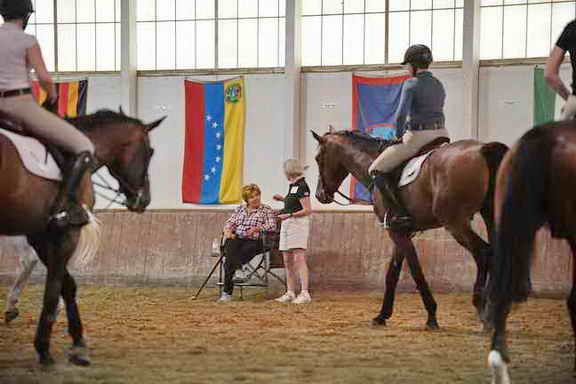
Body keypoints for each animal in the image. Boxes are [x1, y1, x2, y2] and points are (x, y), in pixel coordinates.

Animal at [0, 109, 165, 366]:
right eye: (150, 152)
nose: (144, 199)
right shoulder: (65, 233)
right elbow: (59, 287)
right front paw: (51, 348)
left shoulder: (42, 234)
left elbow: (63, 284)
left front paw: (72, 343)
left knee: (28, 262)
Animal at [310, 127, 508, 328]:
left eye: (318, 158)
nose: (319, 195)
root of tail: (482, 148)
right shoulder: (400, 231)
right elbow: (392, 274)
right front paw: (382, 315)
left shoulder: (396, 232)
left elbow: (416, 271)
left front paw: (431, 316)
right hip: (488, 216)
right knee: (495, 253)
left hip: (455, 223)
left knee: (483, 252)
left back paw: (481, 307)